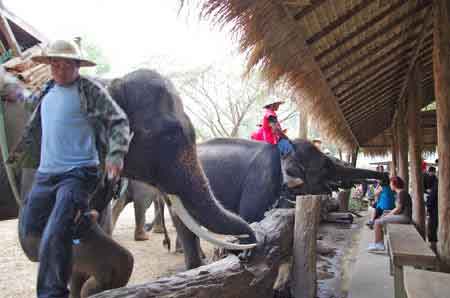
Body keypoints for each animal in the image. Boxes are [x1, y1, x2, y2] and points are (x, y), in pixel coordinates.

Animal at [6, 68, 256, 296]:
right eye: (168, 135)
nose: (247, 249)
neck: (109, 82)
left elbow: (94, 226)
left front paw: (85, 288)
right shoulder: (45, 156)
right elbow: (36, 237)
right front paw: (91, 288)